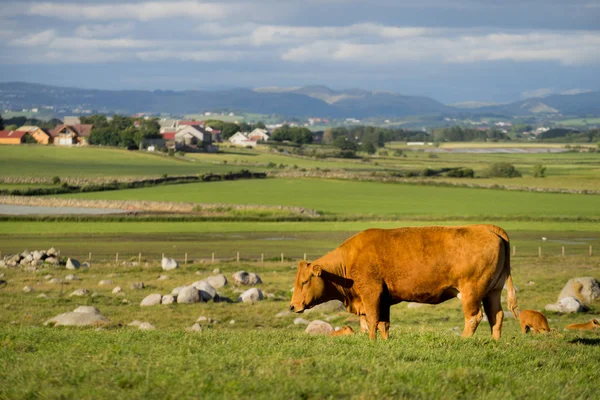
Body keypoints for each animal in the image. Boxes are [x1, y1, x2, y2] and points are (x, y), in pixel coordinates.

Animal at [288, 223, 516, 340]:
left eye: (305, 281)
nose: (292, 306)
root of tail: (487, 228)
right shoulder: (383, 300)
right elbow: (383, 324)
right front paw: (384, 342)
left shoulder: (371, 294)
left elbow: (372, 321)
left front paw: (371, 342)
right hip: (493, 291)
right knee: (496, 316)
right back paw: (495, 342)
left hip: (471, 291)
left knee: (474, 317)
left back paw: (464, 340)